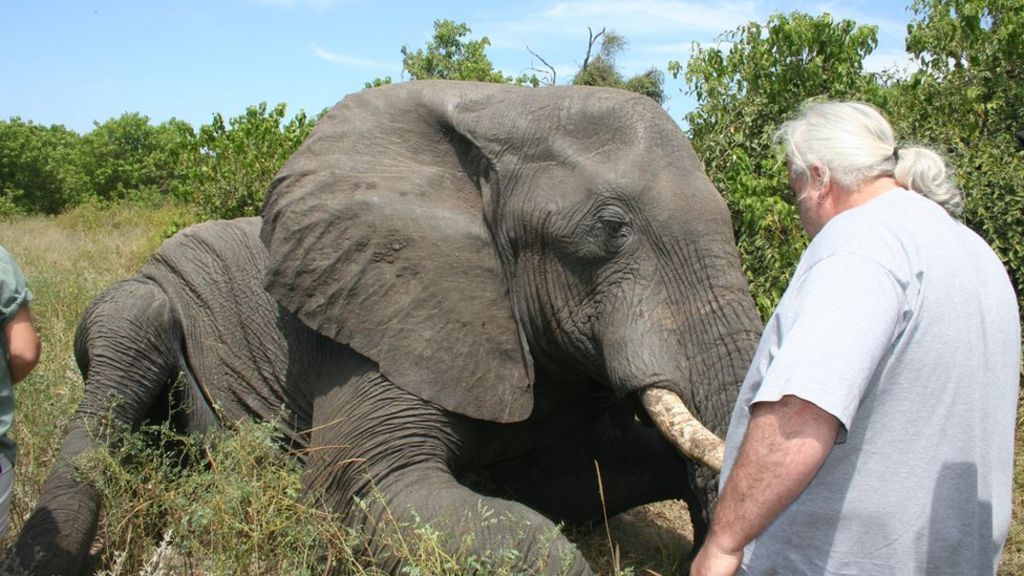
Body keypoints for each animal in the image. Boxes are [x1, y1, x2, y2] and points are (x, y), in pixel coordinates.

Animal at [3, 80, 763, 575]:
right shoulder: (375, 323)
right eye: (610, 230)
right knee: (132, 337)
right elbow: (364, 487)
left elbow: (571, 477)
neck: (500, 109)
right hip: (146, 300)